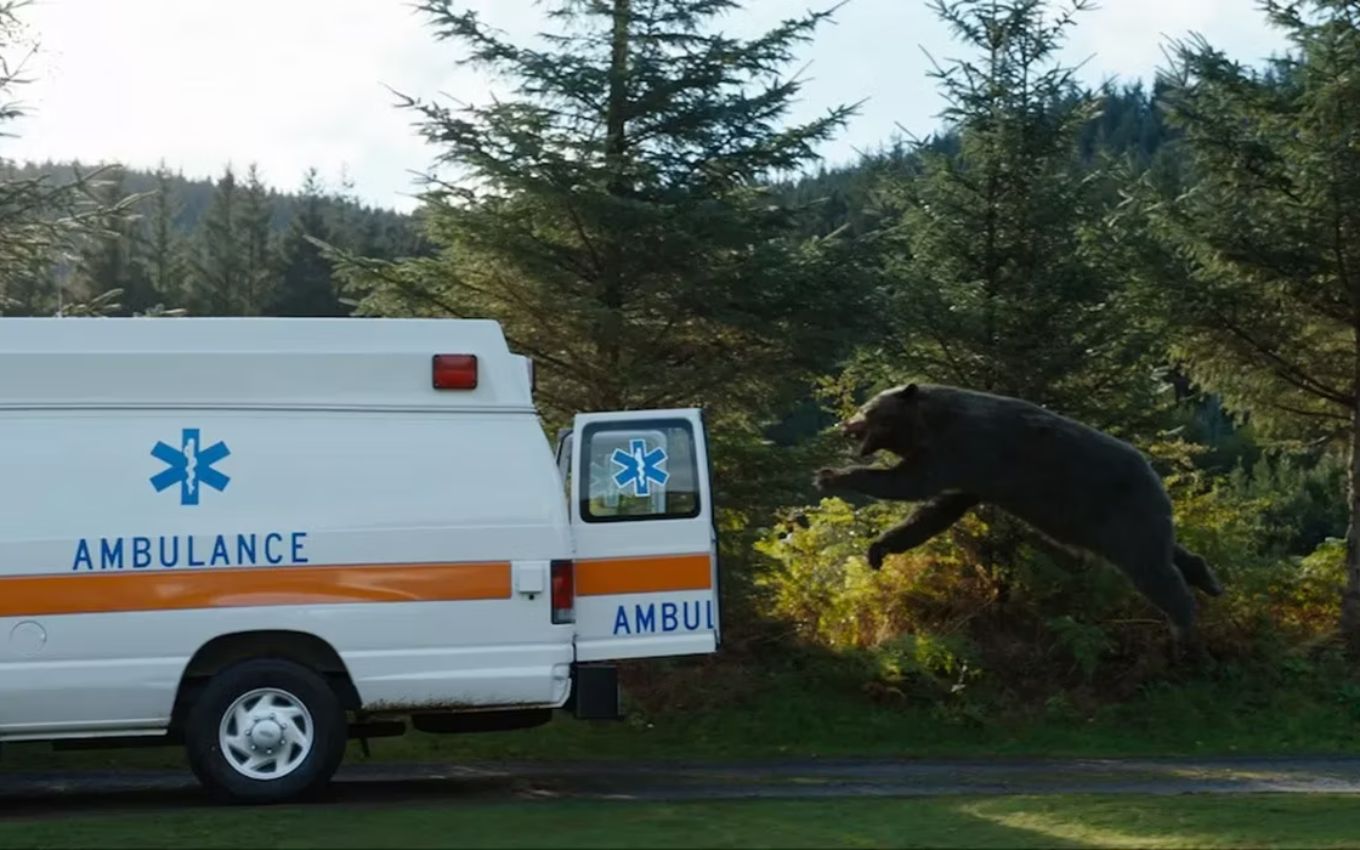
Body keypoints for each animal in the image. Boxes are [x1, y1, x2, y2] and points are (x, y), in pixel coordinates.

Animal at [810, 380, 1229, 639]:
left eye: (867, 409)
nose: (845, 423)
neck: (932, 424)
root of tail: (1154, 472)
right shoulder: (971, 475)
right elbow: (935, 511)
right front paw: (879, 548)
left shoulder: (965, 449)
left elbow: (909, 484)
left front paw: (831, 475)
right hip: (1121, 521)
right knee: (1171, 553)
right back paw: (1209, 580)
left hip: (1119, 511)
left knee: (1154, 572)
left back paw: (1183, 625)